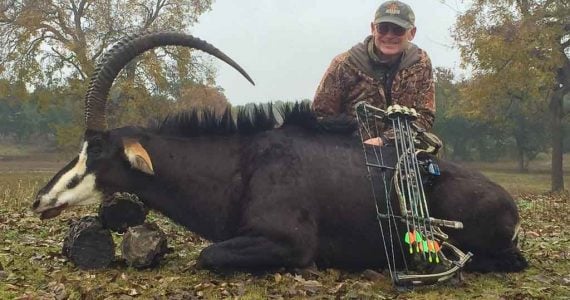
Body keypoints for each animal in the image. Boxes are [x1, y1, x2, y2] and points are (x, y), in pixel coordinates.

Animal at [32, 30, 524, 274]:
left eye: (96, 149)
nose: (41, 199)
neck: (241, 164)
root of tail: (509, 202)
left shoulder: (289, 241)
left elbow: (208, 255)